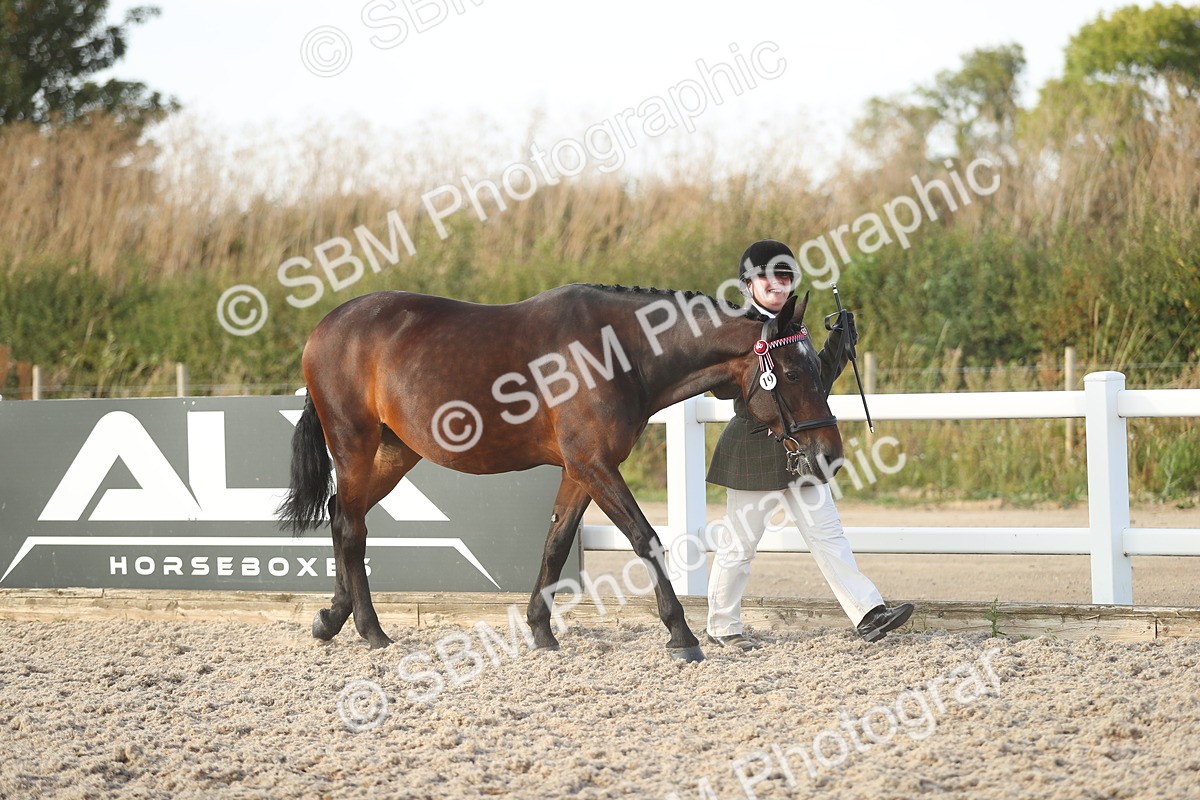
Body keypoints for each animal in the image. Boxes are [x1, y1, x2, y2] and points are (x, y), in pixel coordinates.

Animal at [276, 283, 844, 662]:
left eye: (820, 367)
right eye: (794, 372)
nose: (829, 455)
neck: (618, 351)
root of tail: (328, 326)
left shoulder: (579, 470)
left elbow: (556, 542)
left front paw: (542, 632)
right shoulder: (595, 465)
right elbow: (645, 538)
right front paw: (682, 636)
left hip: (394, 452)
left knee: (342, 516)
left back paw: (332, 619)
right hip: (353, 444)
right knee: (351, 526)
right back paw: (371, 630)